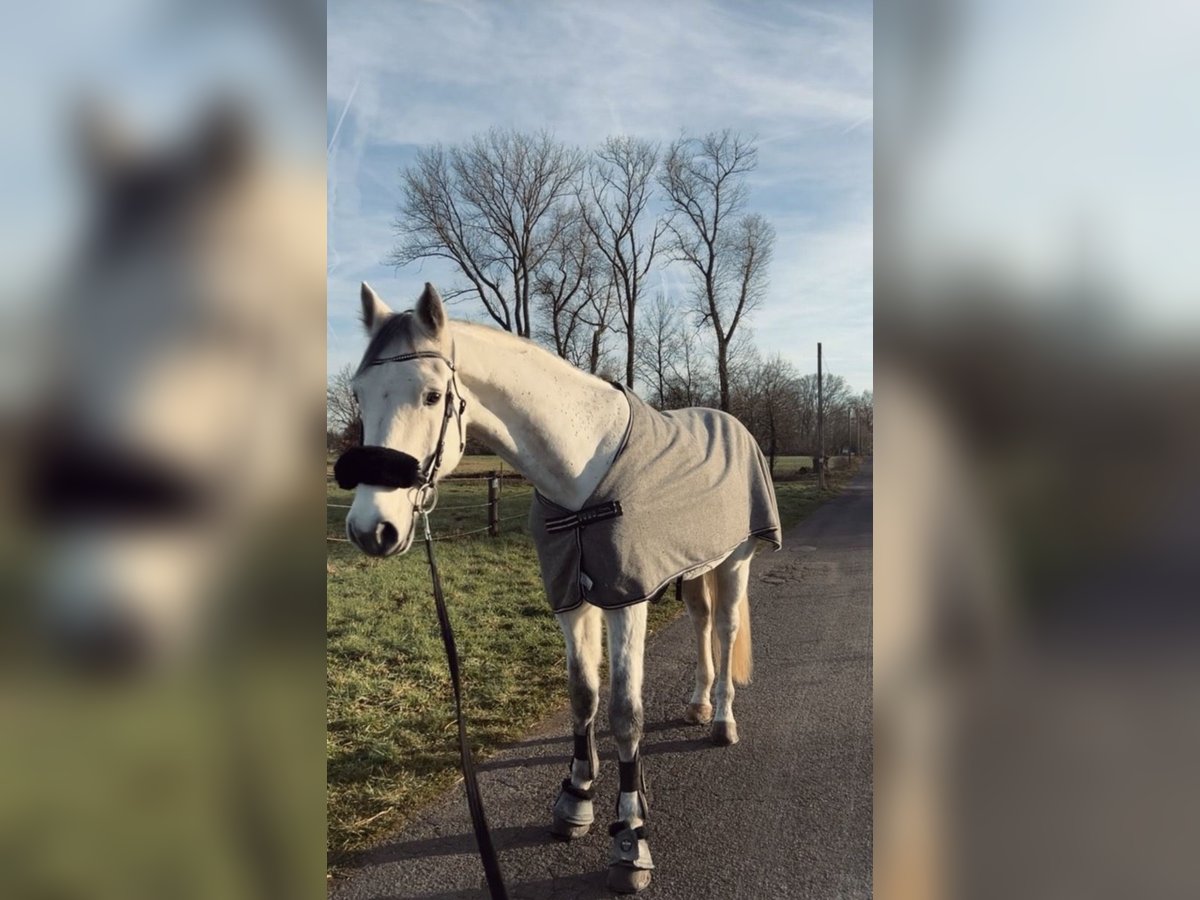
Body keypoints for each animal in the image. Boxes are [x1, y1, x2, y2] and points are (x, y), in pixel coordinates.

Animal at [337, 281, 781, 893]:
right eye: (360, 394)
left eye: (431, 395)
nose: (370, 529)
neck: (579, 470)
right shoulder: (570, 597)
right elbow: (582, 695)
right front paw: (576, 798)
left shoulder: (625, 599)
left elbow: (624, 711)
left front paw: (630, 837)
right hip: (692, 570)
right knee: (700, 624)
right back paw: (696, 703)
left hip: (734, 563)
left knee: (727, 627)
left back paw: (721, 720)